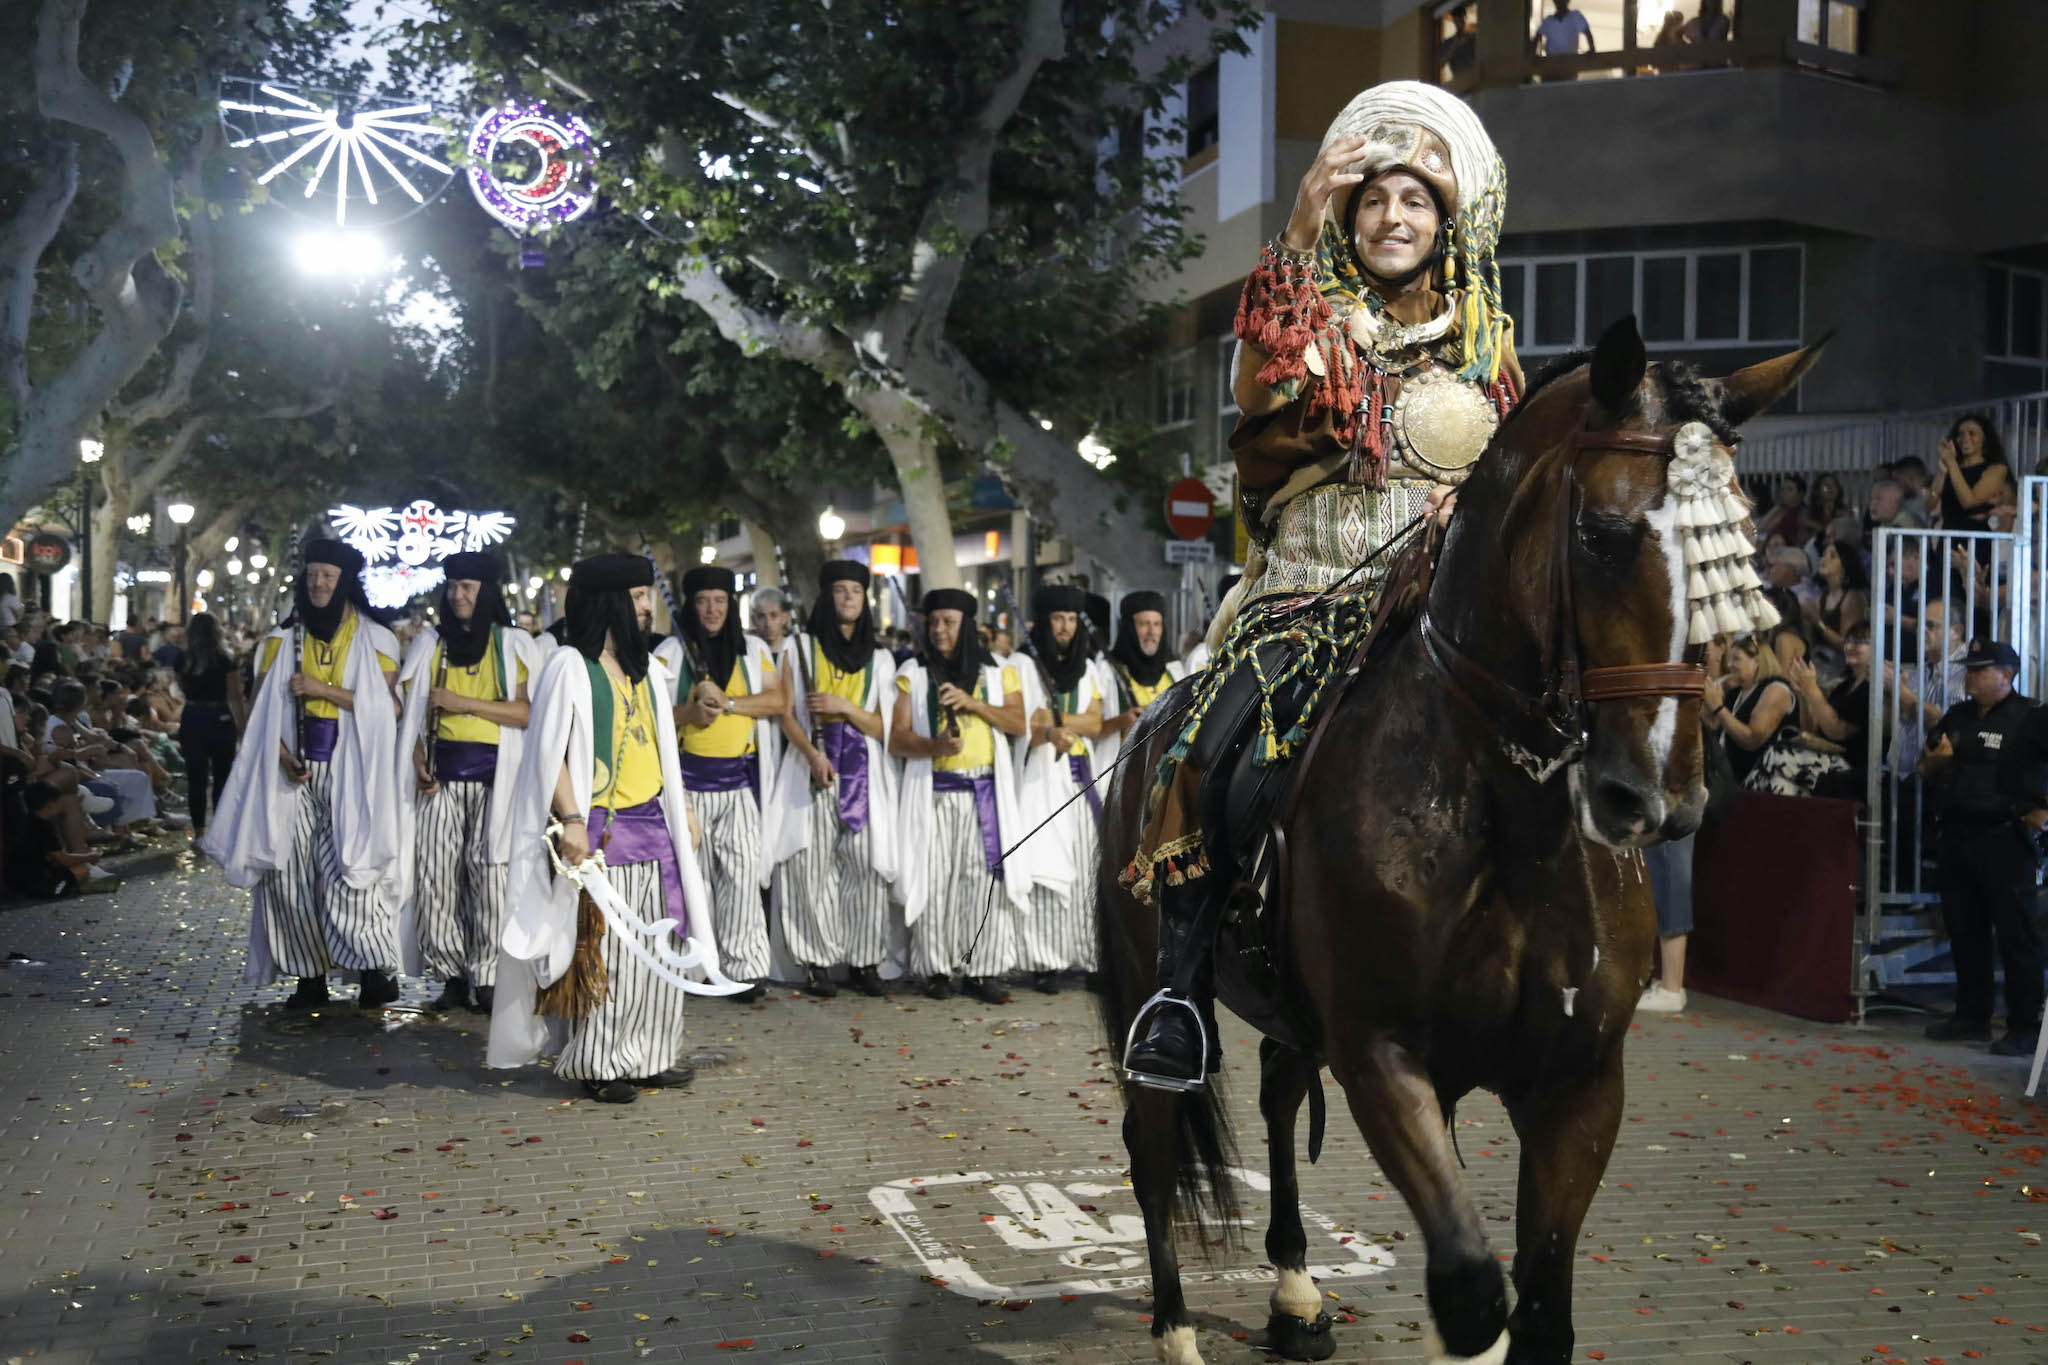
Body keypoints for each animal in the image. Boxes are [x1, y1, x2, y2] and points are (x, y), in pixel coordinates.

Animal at [1097, 313, 1818, 1365]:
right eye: (1601, 537)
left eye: (1740, 556)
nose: (1659, 798)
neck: (1507, 820)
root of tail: (1147, 724)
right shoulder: (1386, 1057)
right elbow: (1475, 1291)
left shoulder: (1576, 1085)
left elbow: (1541, 1312)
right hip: (1150, 980)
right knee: (1152, 1145)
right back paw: (1179, 1328)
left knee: (1277, 1094)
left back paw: (1296, 1294)